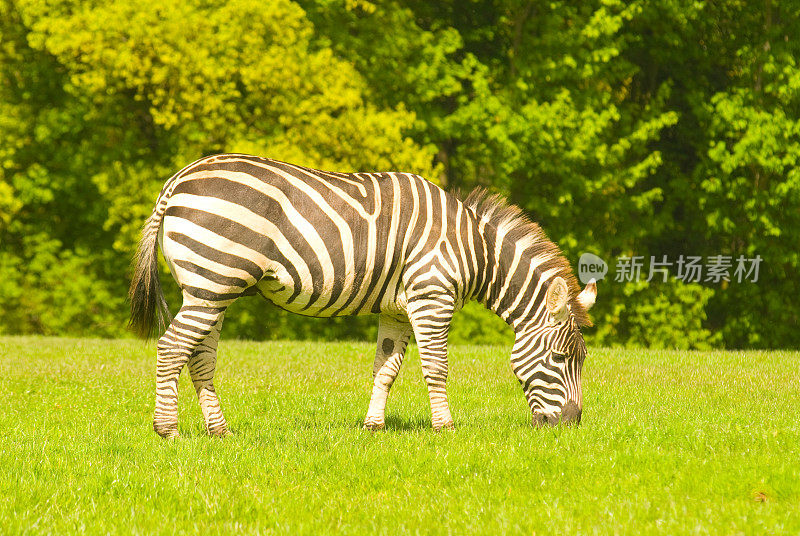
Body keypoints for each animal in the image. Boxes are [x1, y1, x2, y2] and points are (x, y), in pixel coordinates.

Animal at [128, 153, 596, 438]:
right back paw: (167, 430)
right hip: (213, 280)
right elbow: (437, 367)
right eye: (560, 358)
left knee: (200, 357)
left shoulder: (398, 309)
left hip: (211, 289)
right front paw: (444, 428)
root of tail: (178, 179)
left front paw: (374, 427)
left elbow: (385, 368)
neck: (474, 249)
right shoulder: (432, 297)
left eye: (581, 360)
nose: (572, 425)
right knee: (172, 348)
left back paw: (219, 431)